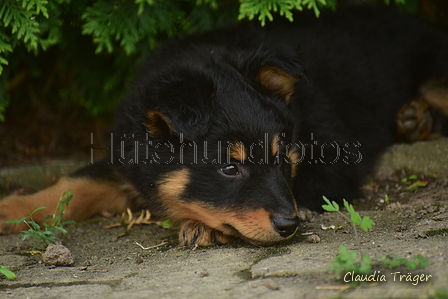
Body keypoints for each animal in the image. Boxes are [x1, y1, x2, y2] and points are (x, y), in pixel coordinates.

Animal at [0, 5, 448, 247]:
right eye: (229, 168)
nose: (288, 226)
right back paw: (415, 121)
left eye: (281, 161)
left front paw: (199, 226)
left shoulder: (334, 158)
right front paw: (12, 209)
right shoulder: (126, 159)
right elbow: (71, 186)